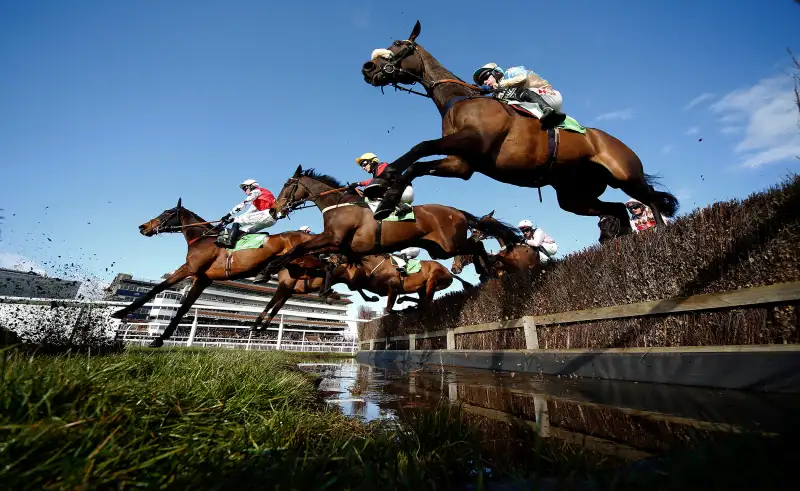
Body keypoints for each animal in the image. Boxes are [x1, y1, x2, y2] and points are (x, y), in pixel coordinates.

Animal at [110, 200, 322, 350]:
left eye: (167, 213)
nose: (143, 227)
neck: (203, 238)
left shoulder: (189, 268)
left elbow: (158, 288)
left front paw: (119, 312)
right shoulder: (203, 278)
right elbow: (184, 307)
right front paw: (159, 339)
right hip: (293, 272)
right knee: (286, 292)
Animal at [360, 20, 680, 238]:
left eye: (398, 44)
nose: (367, 68)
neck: (459, 100)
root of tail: (615, 142)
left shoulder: (473, 141)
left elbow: (421, 146)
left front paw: (383, 177)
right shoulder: (461, 164)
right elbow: (418, 166)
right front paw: (386, 197)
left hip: (625, 176)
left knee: (650, 199)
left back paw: (661, 236)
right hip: (575, 196)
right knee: (617, 210)